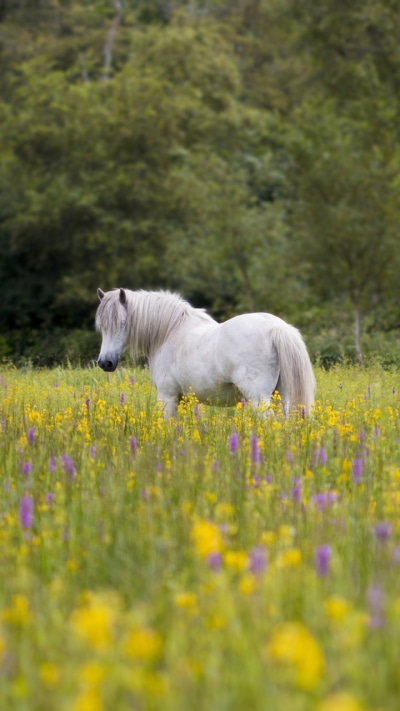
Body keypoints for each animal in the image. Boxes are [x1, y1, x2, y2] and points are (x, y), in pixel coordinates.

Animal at [95, 288, 315, 418]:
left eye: (122, 323)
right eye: (102, 326)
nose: (105, 363)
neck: (169, 331)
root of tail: (276, 328)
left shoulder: (167, 397)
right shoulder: (183, 399)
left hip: (258, 399)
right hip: (282, 397)